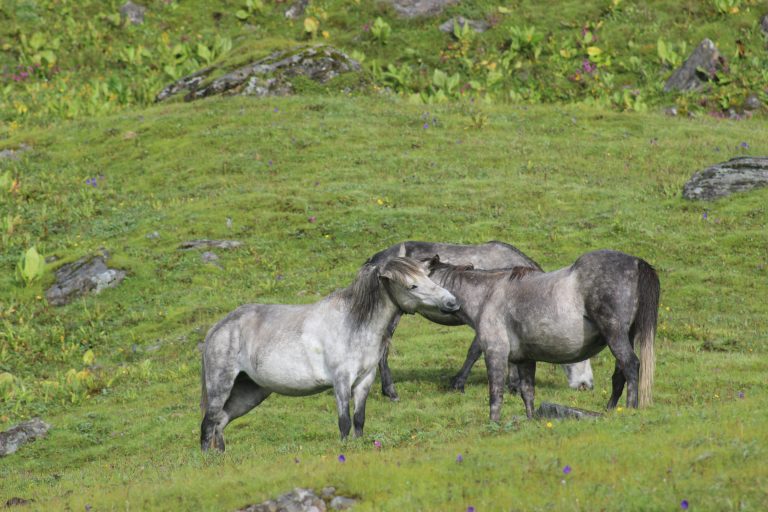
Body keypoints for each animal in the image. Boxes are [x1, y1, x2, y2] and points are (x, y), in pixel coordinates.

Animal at [201, 258, 460, 450]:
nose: (452, 302)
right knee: (208, 423)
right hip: (221, 386)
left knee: (220, 422)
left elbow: (359, 419)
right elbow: (344, 422)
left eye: (428, 277)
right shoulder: (341, 380)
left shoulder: (365, 380)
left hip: (251, 390)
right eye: (412, 286)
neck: (353, 324)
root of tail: (218, 328)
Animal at [366, 240, 592, 400]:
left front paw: (513, 385)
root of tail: (376, 260)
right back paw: (390, 391)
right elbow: (475, 351)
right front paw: (458, 383)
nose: (587, 386)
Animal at [420, 250, 660, 422]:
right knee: (619, 374)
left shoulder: (495, 353)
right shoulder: (525, 359)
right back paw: (610, 410)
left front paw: (493, 423)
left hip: (615, 333)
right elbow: (527, 392)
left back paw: (629, 408)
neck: (487, 295)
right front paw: (530, 420)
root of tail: (636, 262)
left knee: (631, 365)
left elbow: (495, 393)